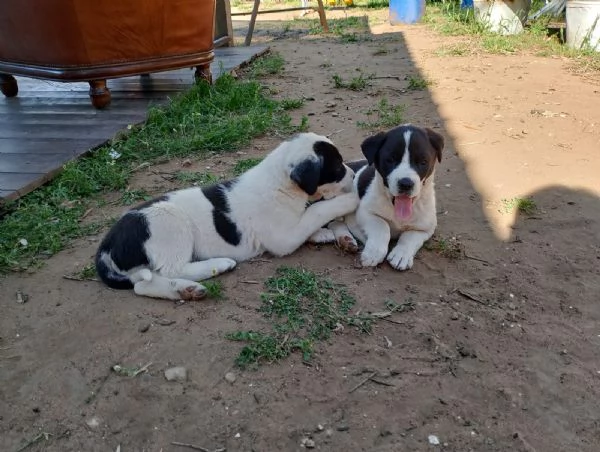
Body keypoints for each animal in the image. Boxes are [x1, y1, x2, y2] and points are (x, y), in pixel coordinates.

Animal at [94, 132, 356, 302]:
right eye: (337, 168)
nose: (354, 175)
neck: (280, 183)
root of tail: (107, 245)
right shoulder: (283, 239)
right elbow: (316, 211)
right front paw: (351, 199)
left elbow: (309, 217)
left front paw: (322, 233)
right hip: (169, 221)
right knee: (169, 270)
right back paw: (216, 265)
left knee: (142, 285)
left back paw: (185, 290)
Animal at [328, 124, 446, 268]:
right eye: (390, 160)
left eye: (423, 162)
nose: (406, 184)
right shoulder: (365, 211)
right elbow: (381, 225)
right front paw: (374, 252)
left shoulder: (426, 228)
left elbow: (410, 236)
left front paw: (401, 254)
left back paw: (346, 240)